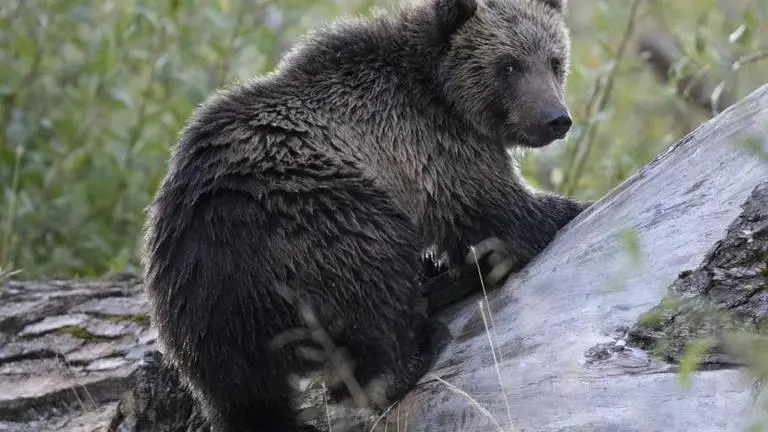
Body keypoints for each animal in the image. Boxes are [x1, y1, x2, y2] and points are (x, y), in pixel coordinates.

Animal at [141, 0, 589, 430]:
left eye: (554, 61)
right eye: (508, 65)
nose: (556, 119)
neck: (442, 92)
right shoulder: (430, 146)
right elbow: (499, 214)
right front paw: (570, 208)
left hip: (197, 320)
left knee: (246, 398)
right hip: (317, 216)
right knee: (374, 288)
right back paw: (422, 337)